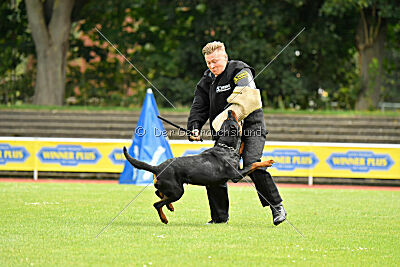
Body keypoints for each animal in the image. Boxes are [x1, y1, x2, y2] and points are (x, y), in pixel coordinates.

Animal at [124, 110, 276, 225]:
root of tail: (156, 167)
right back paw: (164, 218)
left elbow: (242, 148)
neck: (226, 147)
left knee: (159, 193)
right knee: (157, 204)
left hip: (171, 188)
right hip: (177, 191)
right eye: (231, 118)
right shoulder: (236, 175)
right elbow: (253, 164)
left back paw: (170, 206)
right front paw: (267, 162)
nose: (229, 111)